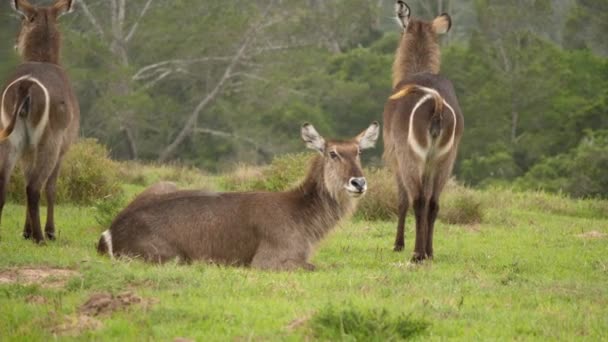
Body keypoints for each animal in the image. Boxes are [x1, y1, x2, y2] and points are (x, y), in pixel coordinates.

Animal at [0, 0, 79, 244]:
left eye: (23, 20)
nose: (15, 42)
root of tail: (26, 84)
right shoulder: (62, 148)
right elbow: (52, 188)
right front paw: (50, 231)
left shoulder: (27, 149)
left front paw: (25, 231)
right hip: (49, 141)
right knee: (35, 187)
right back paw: (41, 238)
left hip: (11, 139)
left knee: (5, 184)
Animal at [97, 123, 378, 270]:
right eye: (333, 153)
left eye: (358, 152)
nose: (358, 182)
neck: (301, 217)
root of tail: (109, 233)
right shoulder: (267, 260)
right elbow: (324, 266)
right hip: (171, 257)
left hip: (164, 184)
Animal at [384, 1, 466, 262]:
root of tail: (436, 102)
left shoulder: (394, 156)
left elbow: (401, 200)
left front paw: (398, 244)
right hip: (444, 160)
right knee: (433, 202)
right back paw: (428, 252)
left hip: (412, 156)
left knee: (418, 199)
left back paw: (417, 253)